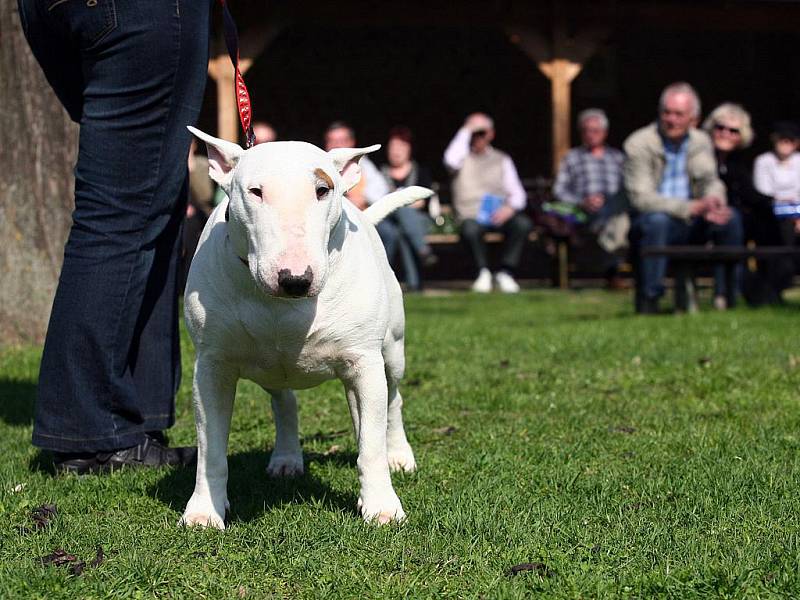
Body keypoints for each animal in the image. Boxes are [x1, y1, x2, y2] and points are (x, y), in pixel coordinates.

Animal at [181, 127, 432, 528]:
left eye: (322, 190)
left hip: (391, 352)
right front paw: (204, 512)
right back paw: (286, 458)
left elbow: (371, 447)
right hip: (271, 368)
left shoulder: (364, 361)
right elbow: (211, 450)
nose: (295, 279)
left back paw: (397, 452)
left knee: (391, 400)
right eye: (255, 191)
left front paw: (382, 507)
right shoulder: (211, 367)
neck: (283, 306)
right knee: (286, 402)